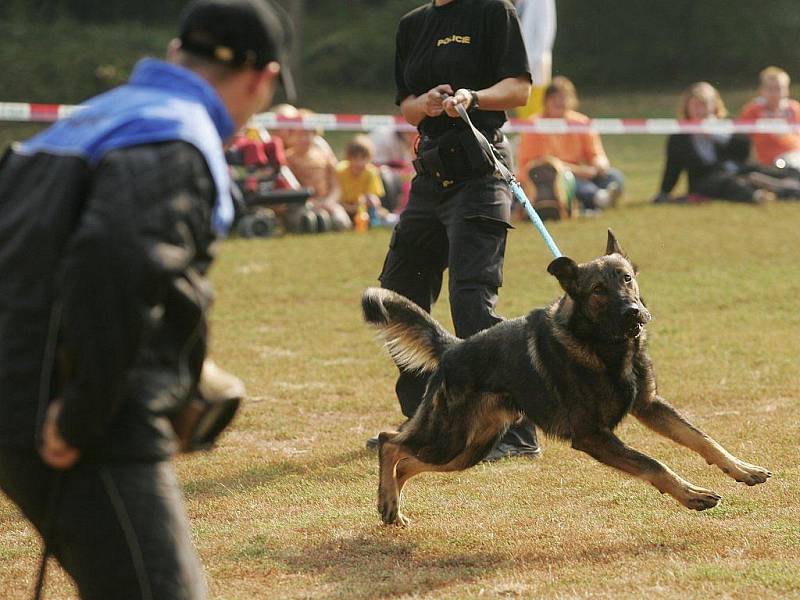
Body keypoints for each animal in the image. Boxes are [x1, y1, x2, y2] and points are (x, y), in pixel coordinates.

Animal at [362, 230, 768, 524]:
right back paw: (388, 500)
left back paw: (390, 506)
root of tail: (453, 349)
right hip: (450, 438)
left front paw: (743, 470)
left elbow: (703, 440)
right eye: (598, 290)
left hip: (466, 449)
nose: (634, 312)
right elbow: (655, 464)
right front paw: (693, 495)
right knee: (389, 441)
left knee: (407, 461)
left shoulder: (650, 406)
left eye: (627, 279)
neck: (605, 348)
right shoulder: (593, 436)